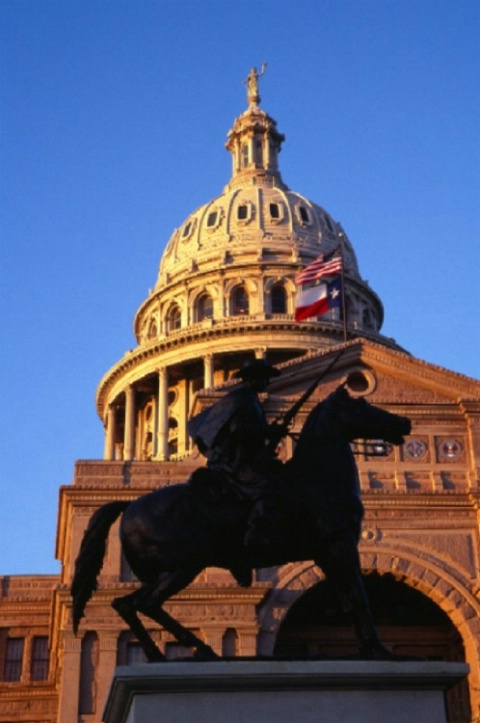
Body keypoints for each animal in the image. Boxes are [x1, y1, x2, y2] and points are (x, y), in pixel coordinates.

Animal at [73, 384, 410, 660]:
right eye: (361, 405)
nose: (403, 423)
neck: (317, 476)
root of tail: (130, 504)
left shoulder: (326, 552)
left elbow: (349, 597)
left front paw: (368, 647)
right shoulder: (340, 543)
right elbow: (359, 595)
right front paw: (378, 649)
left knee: (126, 605)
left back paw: (168, 653)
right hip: (185, 565)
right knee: (144, 604)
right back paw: (192, 650)